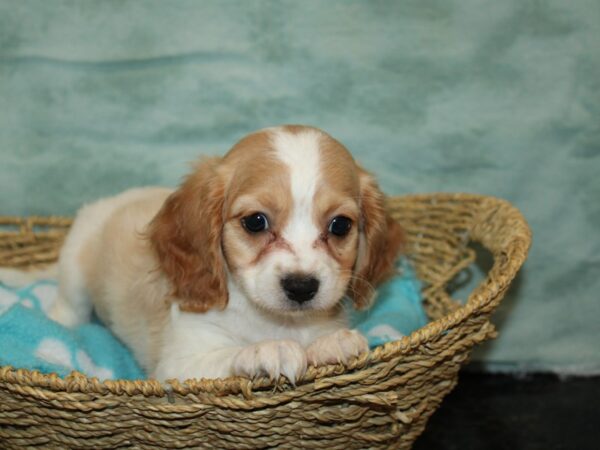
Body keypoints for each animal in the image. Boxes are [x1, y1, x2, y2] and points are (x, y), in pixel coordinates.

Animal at [49, 125, 400, 382]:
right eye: (255, 221)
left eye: (340, 225)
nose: (301, 287)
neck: (275, 321)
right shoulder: (181, 363)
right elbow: (227, 354)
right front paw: (266, 350)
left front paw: (333, 343)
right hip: (75, 268)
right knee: (69, 308)